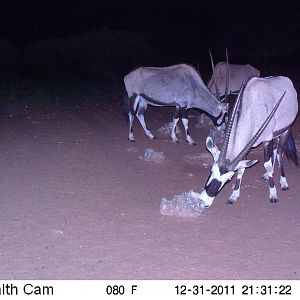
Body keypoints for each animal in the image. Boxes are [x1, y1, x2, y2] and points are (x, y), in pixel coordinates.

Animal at [199, 75, 298, 207]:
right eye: (211, 170)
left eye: (229, 179)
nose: (204, 201)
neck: (251, 105)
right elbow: (242, 169)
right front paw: (234, 195)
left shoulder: (266, 140)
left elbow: (267, 165)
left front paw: (273, 194)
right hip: (276, 135)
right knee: (275, 151)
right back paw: (267, 176)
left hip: (286, 130)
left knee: (279, 152)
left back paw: (283, 182)